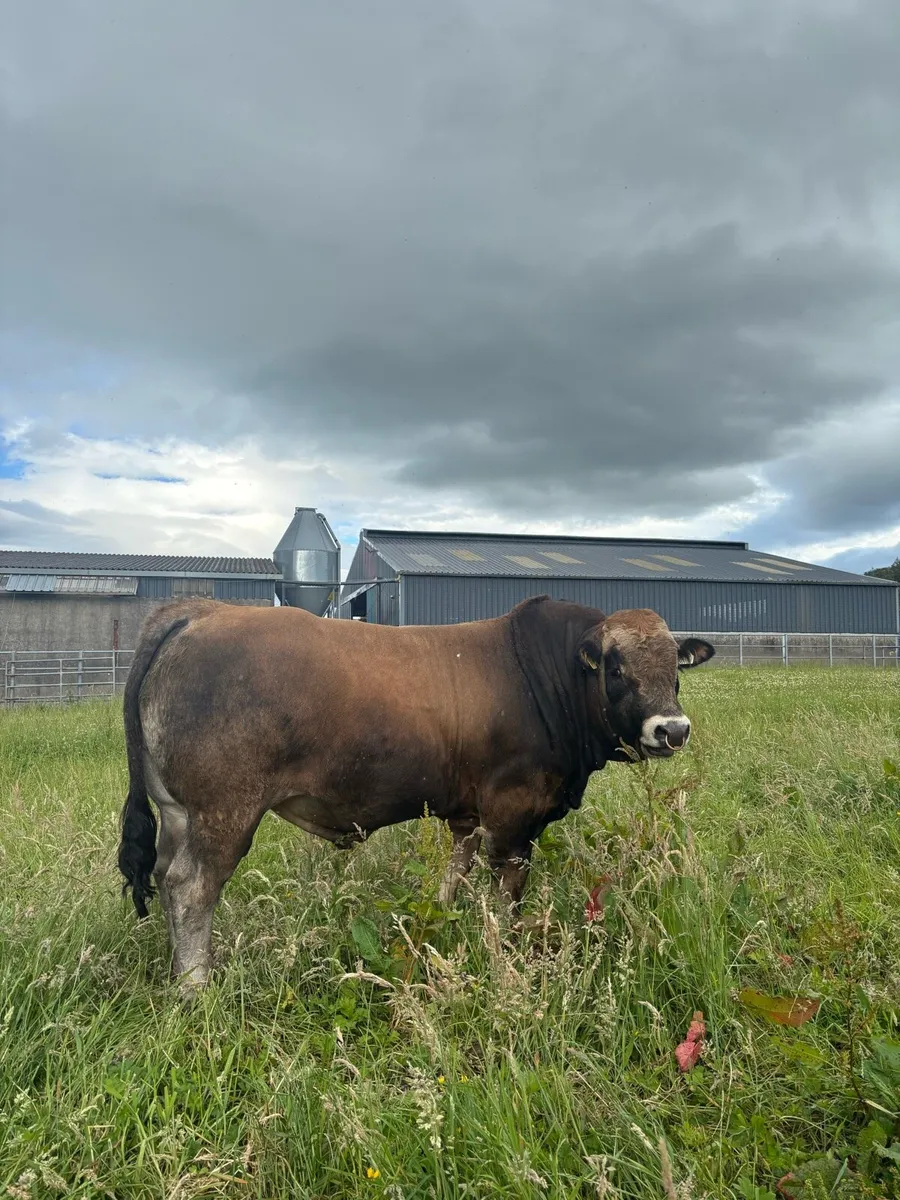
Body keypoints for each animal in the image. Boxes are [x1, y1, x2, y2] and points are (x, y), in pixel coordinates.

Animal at [117, 596, 714, 989]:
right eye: (616, 667)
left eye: (675, 668)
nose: (673, 729)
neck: (542, 675)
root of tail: (201, 609)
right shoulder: (513, 813)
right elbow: (506, 894)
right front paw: (503, 956)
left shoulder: (469, 814)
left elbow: (456, 874)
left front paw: (441, 925)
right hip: (225, 809)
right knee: (191, 886)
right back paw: (195, 986)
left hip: (177, 811)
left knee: (164, 872)